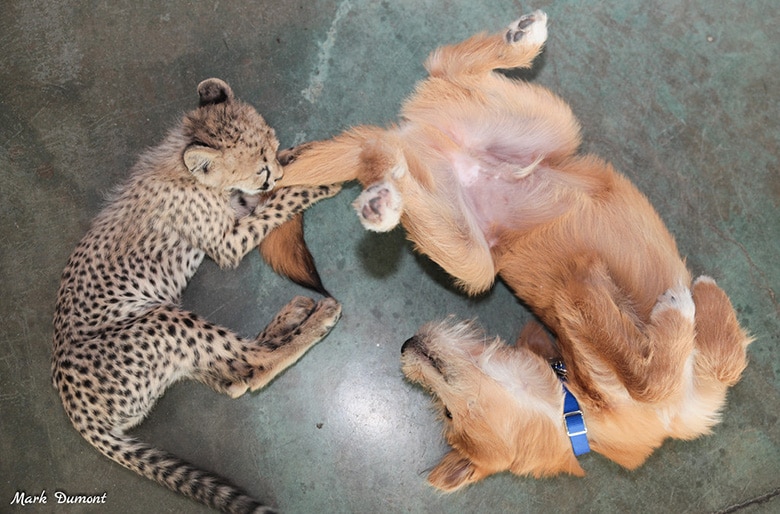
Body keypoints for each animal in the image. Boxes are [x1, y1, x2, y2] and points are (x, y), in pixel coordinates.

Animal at [272, 10, 752, 486]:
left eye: (447, 413)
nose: (407, 345)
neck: (574, 408)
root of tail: (422, 140)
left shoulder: (702, 396)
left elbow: (722, 362)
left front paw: (706, 300)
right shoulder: (575, 293)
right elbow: (645, 378)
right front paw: (679, 309)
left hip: (543, 125)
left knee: (425, 90)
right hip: (475, 261)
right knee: (397, 138)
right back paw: (383, 203)